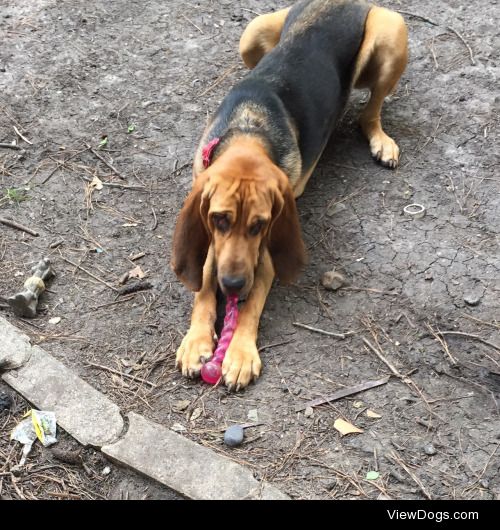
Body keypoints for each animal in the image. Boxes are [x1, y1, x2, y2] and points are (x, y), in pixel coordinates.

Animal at [171, 0, 406, 388]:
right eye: (219, 220)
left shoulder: (266, 250)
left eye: (259, 225)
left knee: (370, 111)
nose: (232, 285)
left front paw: (239, 352)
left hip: (391, 31)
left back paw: (380, 141)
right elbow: (203, 282)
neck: (249, 130)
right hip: (252, 34)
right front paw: (196, 341)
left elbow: (251, 302)